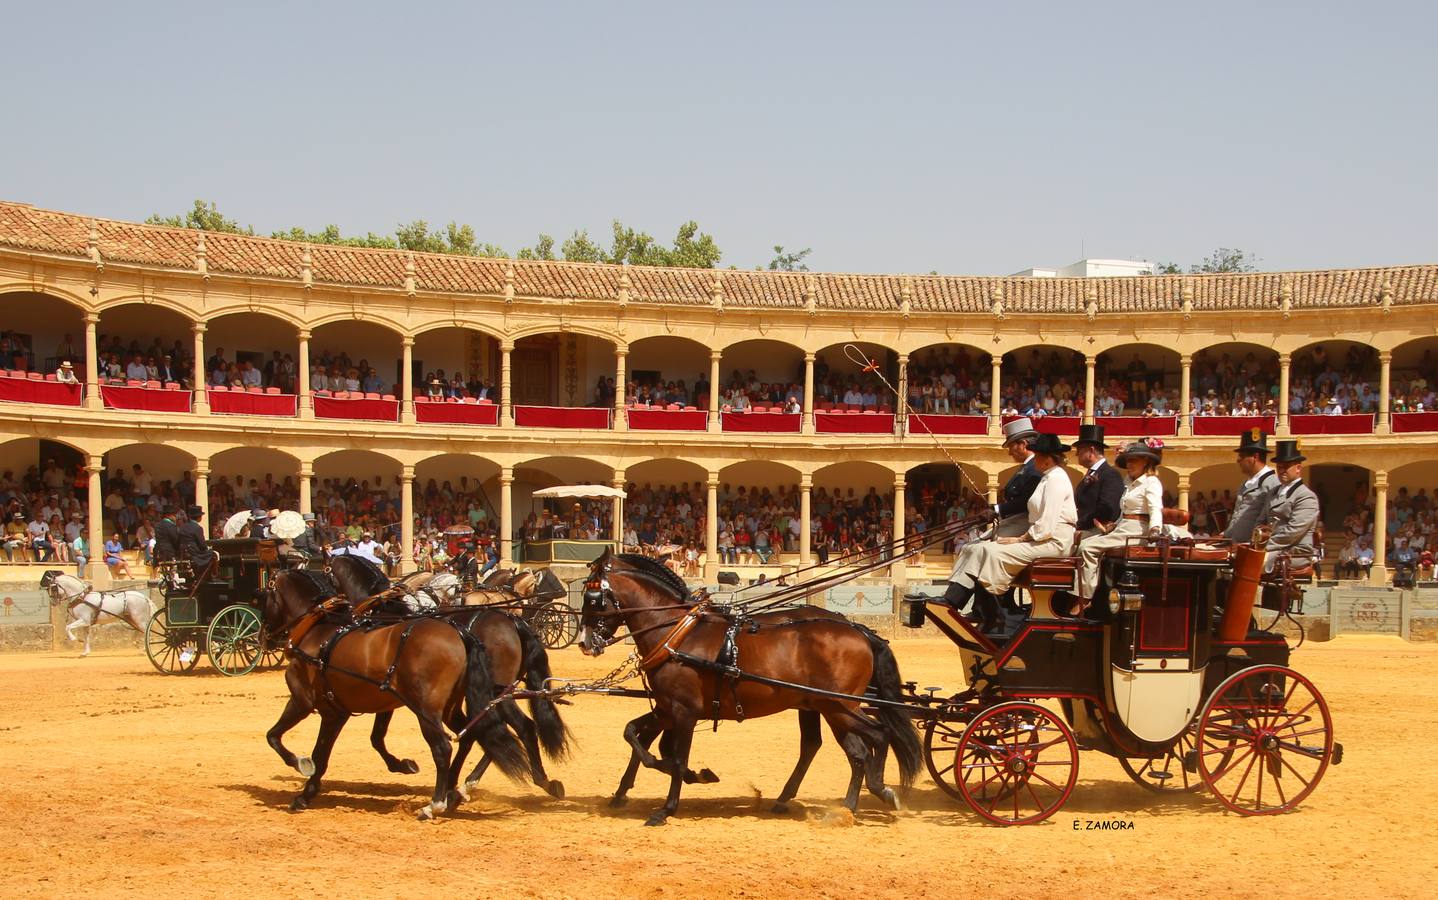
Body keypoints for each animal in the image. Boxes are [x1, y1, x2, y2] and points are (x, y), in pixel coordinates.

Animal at [263, 572, 529, 816]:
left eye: (264, 595)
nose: (263, 636)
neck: (319, 631)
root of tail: (462, 634)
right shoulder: (343, 711)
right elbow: (361, 742)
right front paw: (401, 764)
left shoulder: (306, 702)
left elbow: (282, 739)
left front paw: (302, 774)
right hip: (452, 706)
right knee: (479, 733)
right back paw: (455, 791)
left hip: (428, 709)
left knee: (445, 747)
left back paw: (436, 803)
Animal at [578, 543, 914, 822]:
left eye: (593, 598)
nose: (584, 642)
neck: (677, 634)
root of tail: (859, 630)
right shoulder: (665, 708)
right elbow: (636, 735)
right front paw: (691, 775)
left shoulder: (684, 711)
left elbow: (675, 755)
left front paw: (667, 807)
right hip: (825, 707)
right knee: (849, 750)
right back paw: (843, 805)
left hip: (838, 706)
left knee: (877, 736)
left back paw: (879, 789)